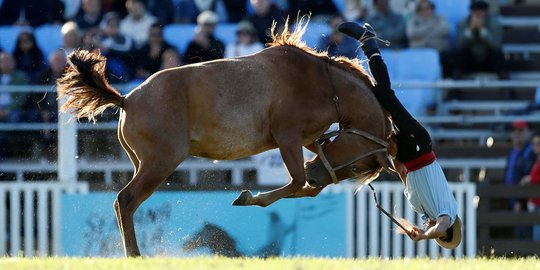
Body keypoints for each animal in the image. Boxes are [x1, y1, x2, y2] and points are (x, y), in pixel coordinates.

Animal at [57, 17, 394, 256]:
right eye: (356, 165)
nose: (317, 173)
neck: (323, 83)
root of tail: (127, 99)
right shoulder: (287, 137)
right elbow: (298, 182)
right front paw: (250, 197)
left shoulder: (309, 140)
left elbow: (306, 186)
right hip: (158, 164)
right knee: (125, 201)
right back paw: (135, 254)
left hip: (144, 163)